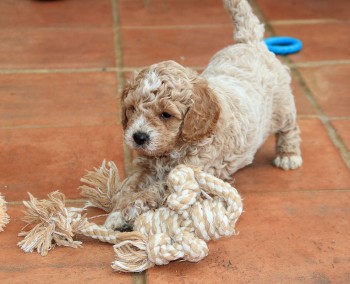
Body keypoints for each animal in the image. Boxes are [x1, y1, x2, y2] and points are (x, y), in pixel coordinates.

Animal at [105, 0, 302, 231]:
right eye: (132, 108)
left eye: (166, 115)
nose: (138, 137)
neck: (172, 149)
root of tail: (250, 42)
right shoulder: (146, 167)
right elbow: (130, 186)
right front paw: (117, 212)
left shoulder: (190, 176)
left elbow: (152, 192)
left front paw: (128, 211)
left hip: (282, 107)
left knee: (290, 128)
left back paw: (288, 155)